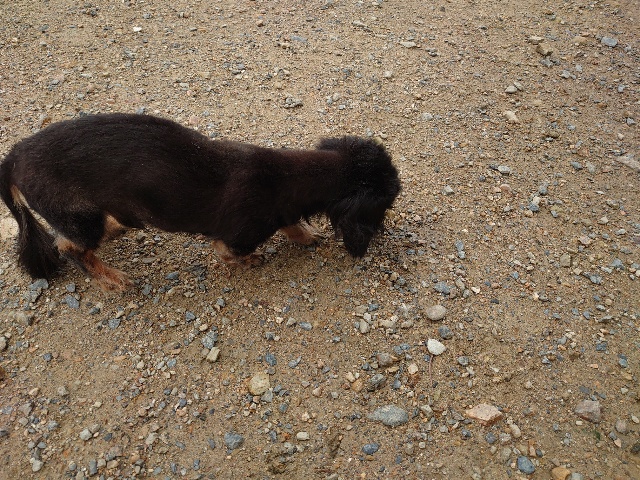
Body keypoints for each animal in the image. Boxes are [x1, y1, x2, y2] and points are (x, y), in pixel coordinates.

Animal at [0, 113, 400, 291]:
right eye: (384, 207)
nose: (380, 237)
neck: (288, 178)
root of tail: (15, 156)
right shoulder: (237, 235)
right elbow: (230, 252)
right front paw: (249, 261)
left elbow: (292, 225)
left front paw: (304, 235)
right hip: (80, 218)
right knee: (69, 246)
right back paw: (112, 278)